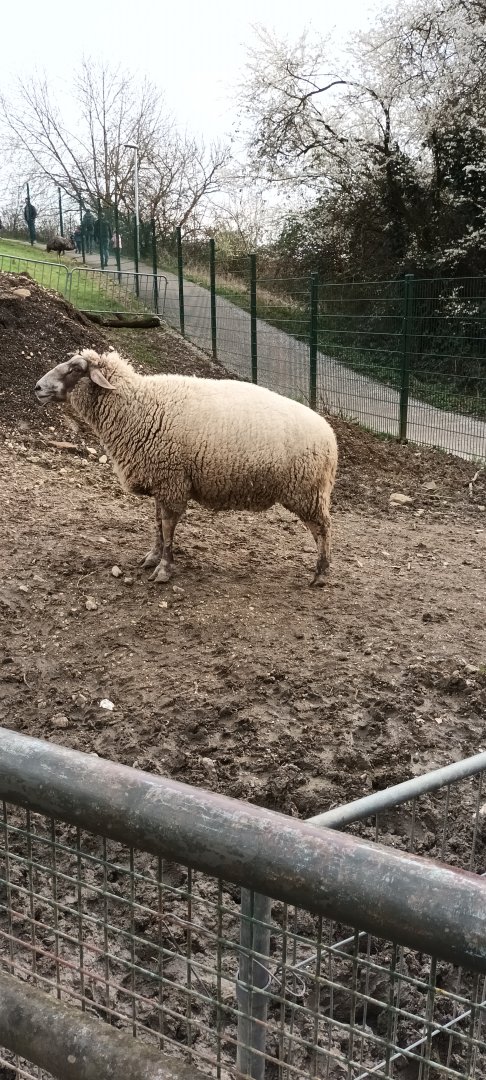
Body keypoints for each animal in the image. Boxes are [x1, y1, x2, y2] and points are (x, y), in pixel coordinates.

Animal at [34, 349, 338, 586]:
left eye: (75, 369)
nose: (37, 387)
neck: (137, 407)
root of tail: (330, 435)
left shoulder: (172, 481)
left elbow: (168, 526)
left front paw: (164, 569)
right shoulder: (161, 480)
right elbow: (158, 523)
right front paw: (152, 557)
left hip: (307, 491)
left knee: (322, 528)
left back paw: (321, 574)